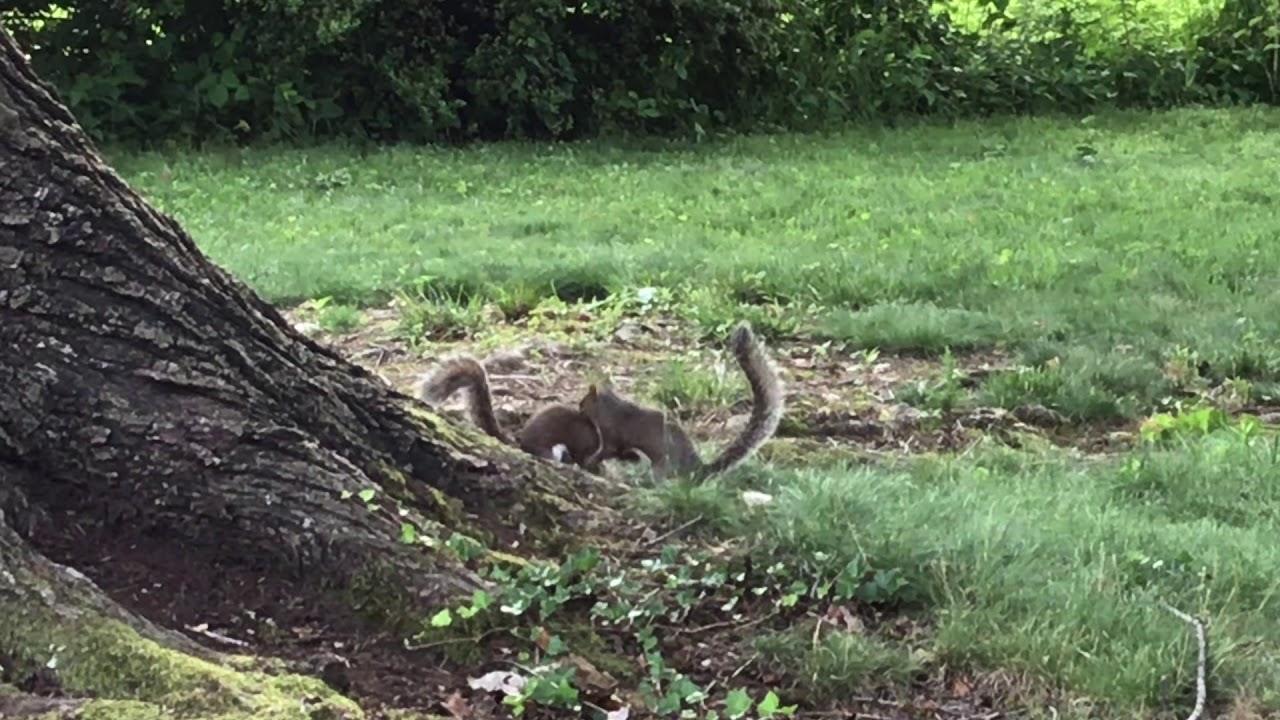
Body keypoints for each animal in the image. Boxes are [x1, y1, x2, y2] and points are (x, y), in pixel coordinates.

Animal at [577, 321, 784, 481]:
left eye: (584, 401)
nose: (578, 407)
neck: (610, 407)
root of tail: (697, 471)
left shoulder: (611, 437)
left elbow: (606, 451)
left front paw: (590, 461)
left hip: (661, 467)